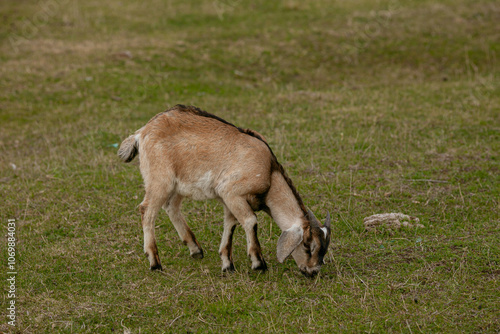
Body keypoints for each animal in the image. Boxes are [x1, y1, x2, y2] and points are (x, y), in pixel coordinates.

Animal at [118, 105, 332, 276]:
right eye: (308, 245)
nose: (312, 271)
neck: (269, 173)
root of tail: (141, 133)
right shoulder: (232, 191)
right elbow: (250, 221)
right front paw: (258, 263)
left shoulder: (229, 199)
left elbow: (230, 225)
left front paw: (228, 265)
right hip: (160, 180)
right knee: (147, 210)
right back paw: (155, 263)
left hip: (177, 184)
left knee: (171, 207)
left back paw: (195, 250)